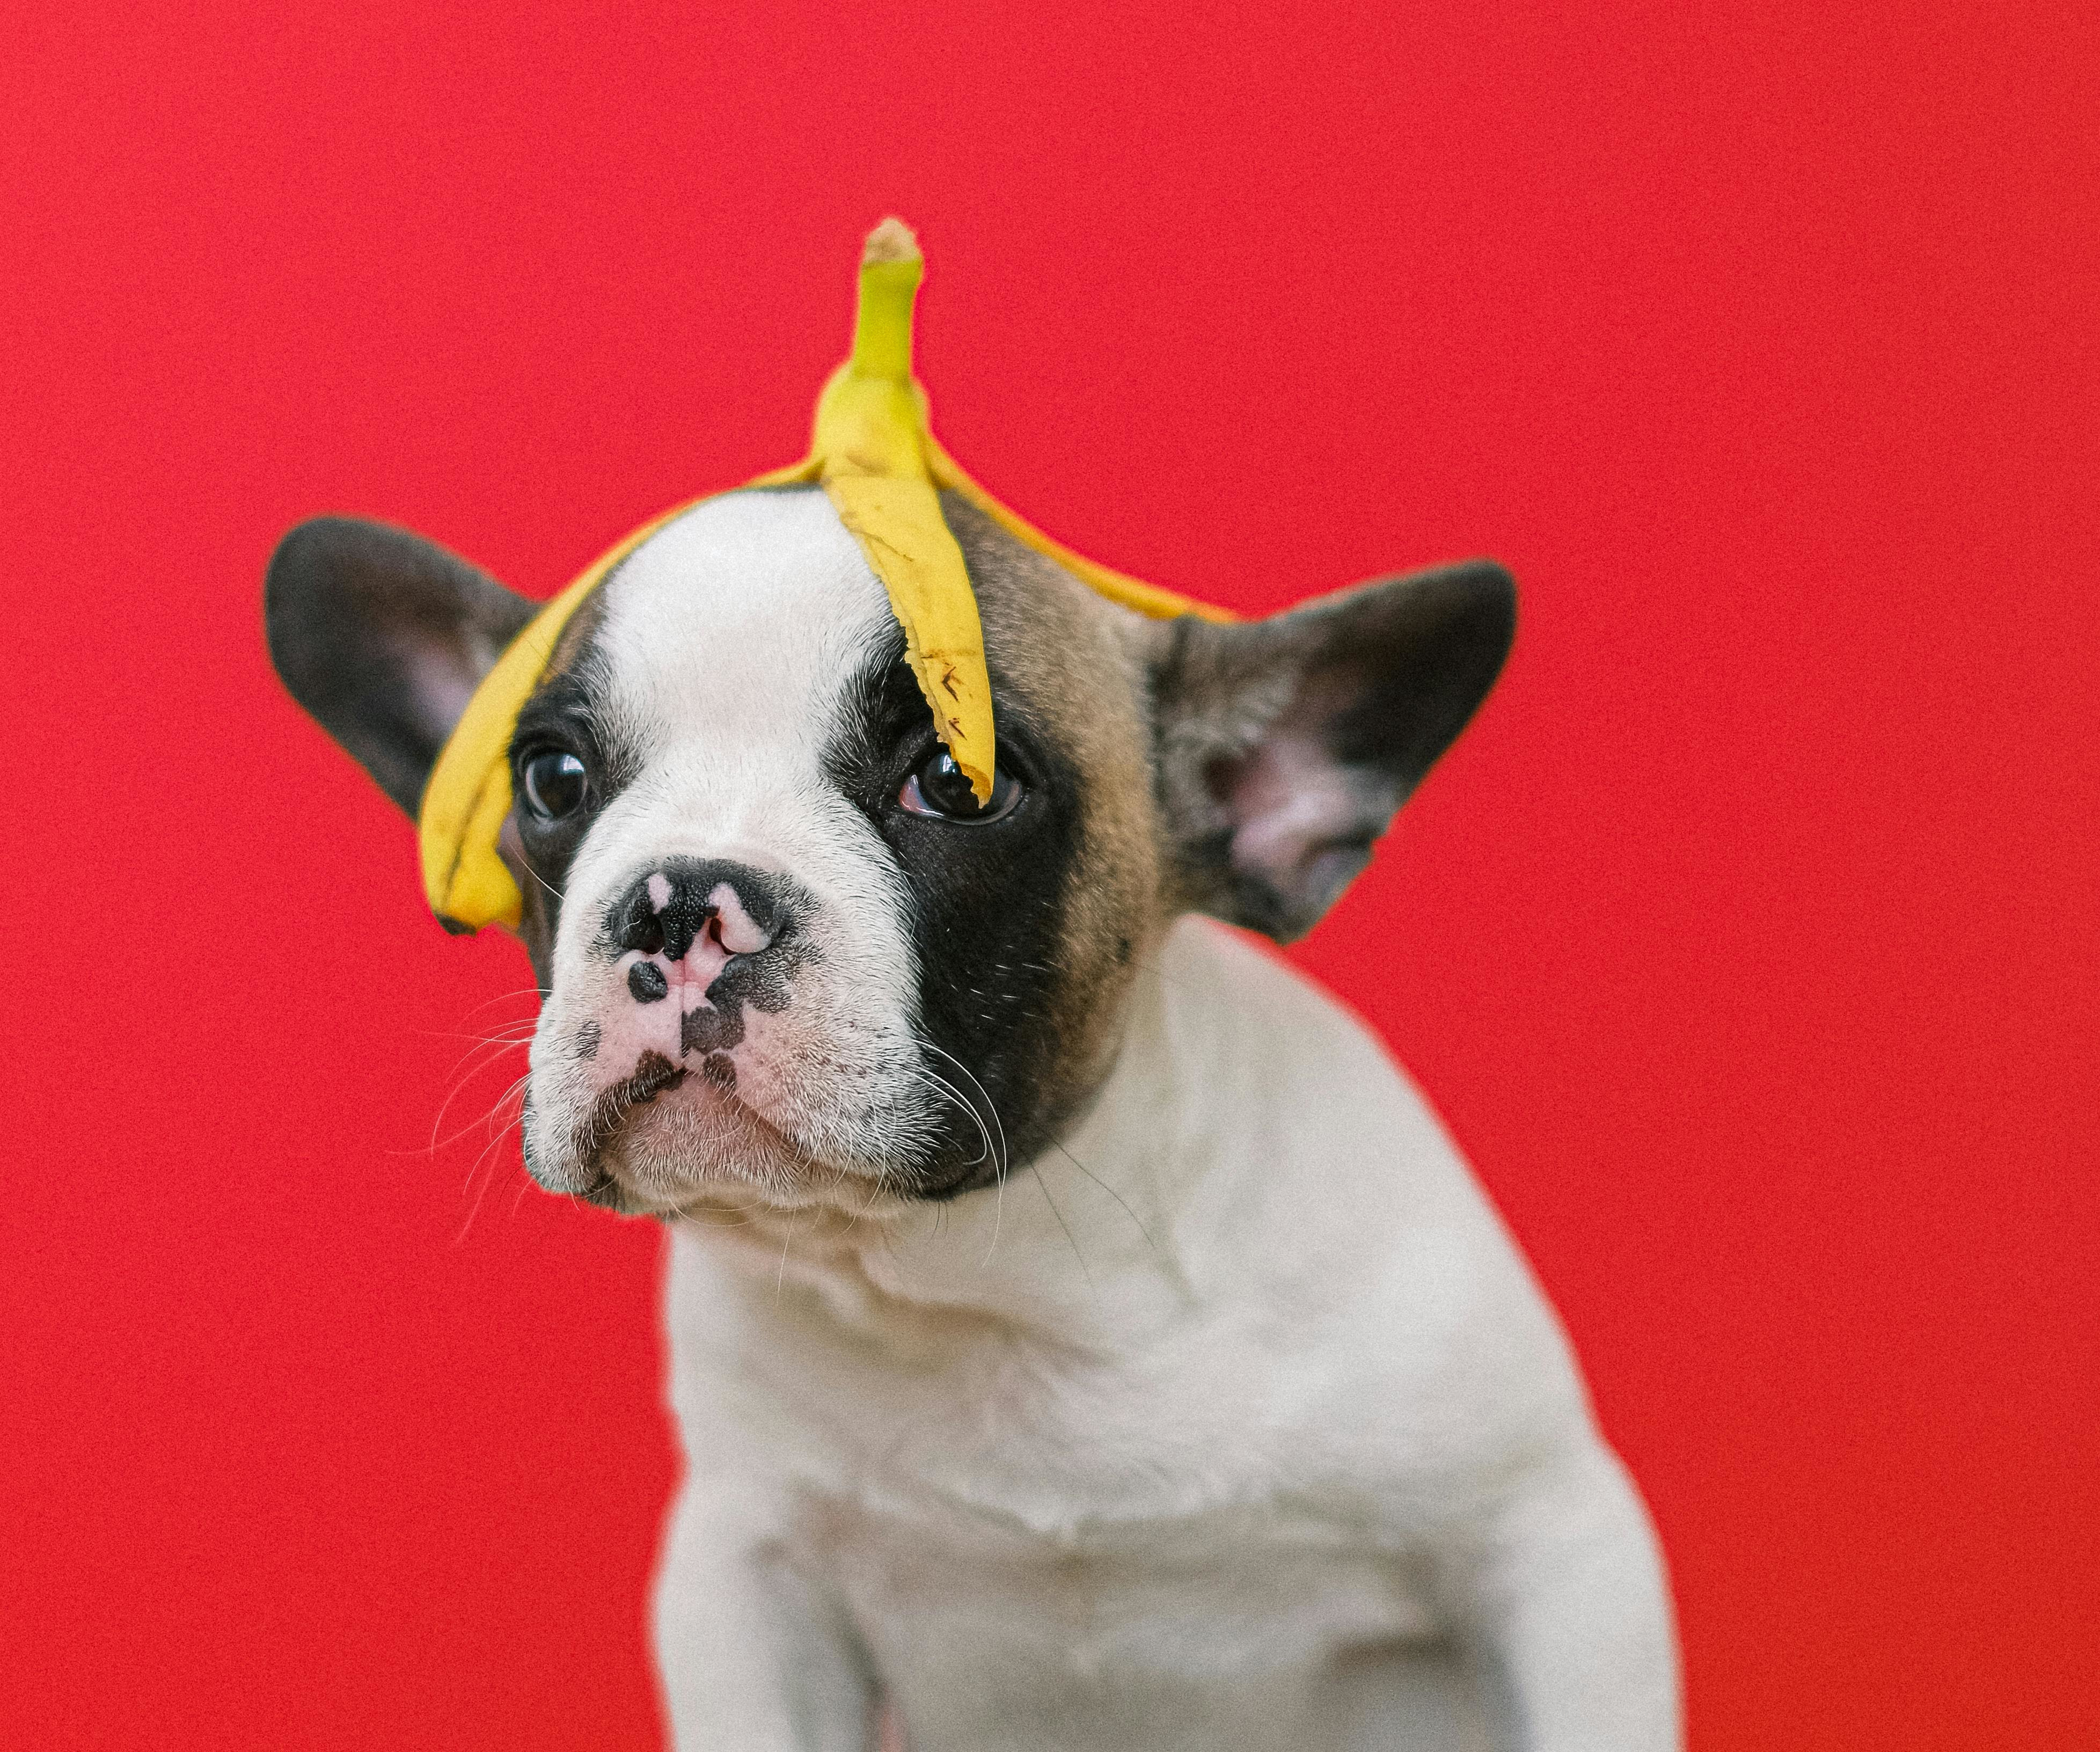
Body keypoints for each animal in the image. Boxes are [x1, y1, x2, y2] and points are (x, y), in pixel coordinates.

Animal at [266, 487, 1671, 1748]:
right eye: (552, 778)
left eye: (953, 781)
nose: (680, 899)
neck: (1005, 1298)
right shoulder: (750, 1588)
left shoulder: (1555, 1555)